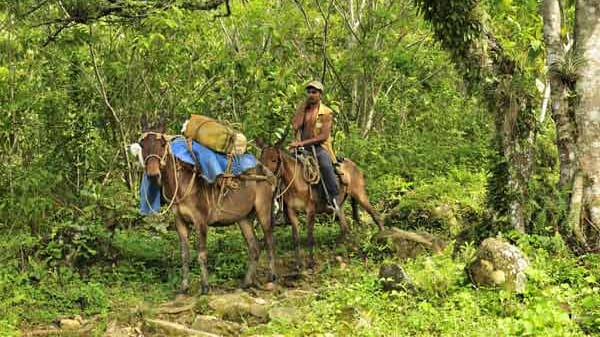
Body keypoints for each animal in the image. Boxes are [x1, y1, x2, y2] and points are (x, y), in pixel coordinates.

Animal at [140, 114, 276, 292]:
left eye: (162, 144)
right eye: (142, 145)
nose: (152, 173)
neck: (181, 185)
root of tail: (267, 172)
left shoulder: (201, 221)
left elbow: (202, 255)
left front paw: (205, 287)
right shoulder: (180, 221)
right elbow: (185, 255)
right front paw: (184, 287)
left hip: (263, 210)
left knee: (269, 241)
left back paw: (271, 278)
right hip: (244, 218)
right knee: (254, 248)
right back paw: (246, 283)